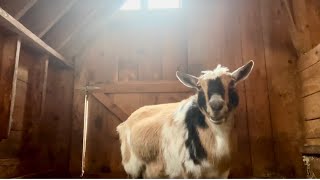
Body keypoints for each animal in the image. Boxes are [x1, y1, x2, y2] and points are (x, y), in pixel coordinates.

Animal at [116, 60, 254, 179]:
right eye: (199, 87)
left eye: (232, 83)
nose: (216, 105)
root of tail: (123, 124)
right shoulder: (189, 171)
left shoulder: (222, 173)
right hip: (132, 167)